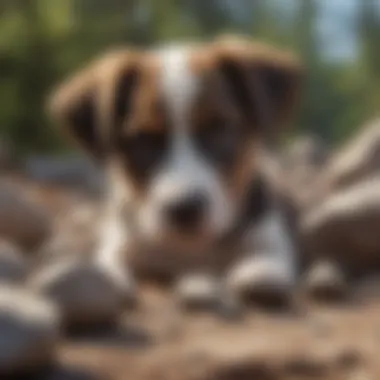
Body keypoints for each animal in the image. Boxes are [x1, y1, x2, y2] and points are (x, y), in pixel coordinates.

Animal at [49, 35, 302, 308]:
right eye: (143, 138)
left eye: (219, 128)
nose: (185, 209)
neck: (186, 252)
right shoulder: (119, 243)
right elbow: (109, 265)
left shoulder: (268, 236)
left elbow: (267, 259)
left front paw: (259, 272)